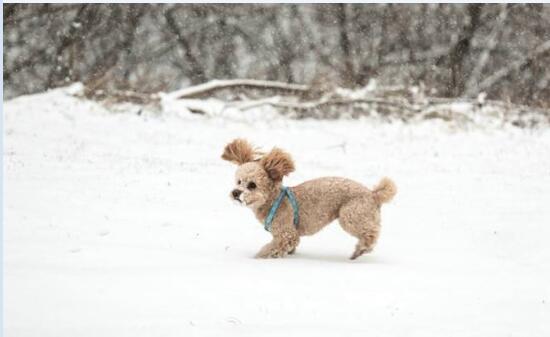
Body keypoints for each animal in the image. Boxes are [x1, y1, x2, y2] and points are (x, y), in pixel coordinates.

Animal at [220, 138, 396, 258]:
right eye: (238, 181)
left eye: (252, 185)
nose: (235, 193)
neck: (274, 201)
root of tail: (373, 194)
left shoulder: (286, 233)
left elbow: (272, 248)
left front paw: (258, 258)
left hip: (352, 214)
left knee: (370, 233)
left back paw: (361, 249)